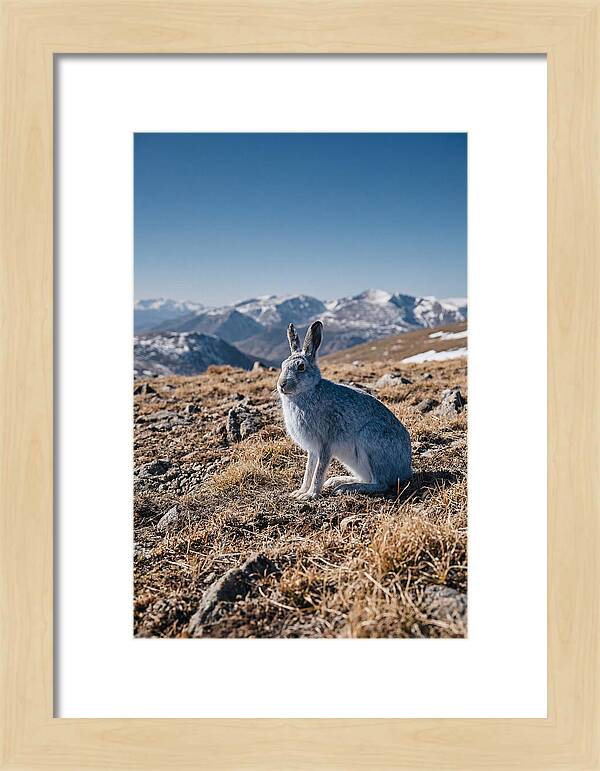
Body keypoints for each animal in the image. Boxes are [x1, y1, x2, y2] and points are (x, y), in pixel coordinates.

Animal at [277, 320, 412, 500]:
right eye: (282, 365)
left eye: (301, 367)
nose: (282, 385)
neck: (307, 392)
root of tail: (406, 470)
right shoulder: (313, 450)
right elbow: (309, 470)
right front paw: (300, 492)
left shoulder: (325, 444)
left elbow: (318, 471)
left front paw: (310, 495)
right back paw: (337, 481)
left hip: (370, 440)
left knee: (380, 483)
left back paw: (345, 488)